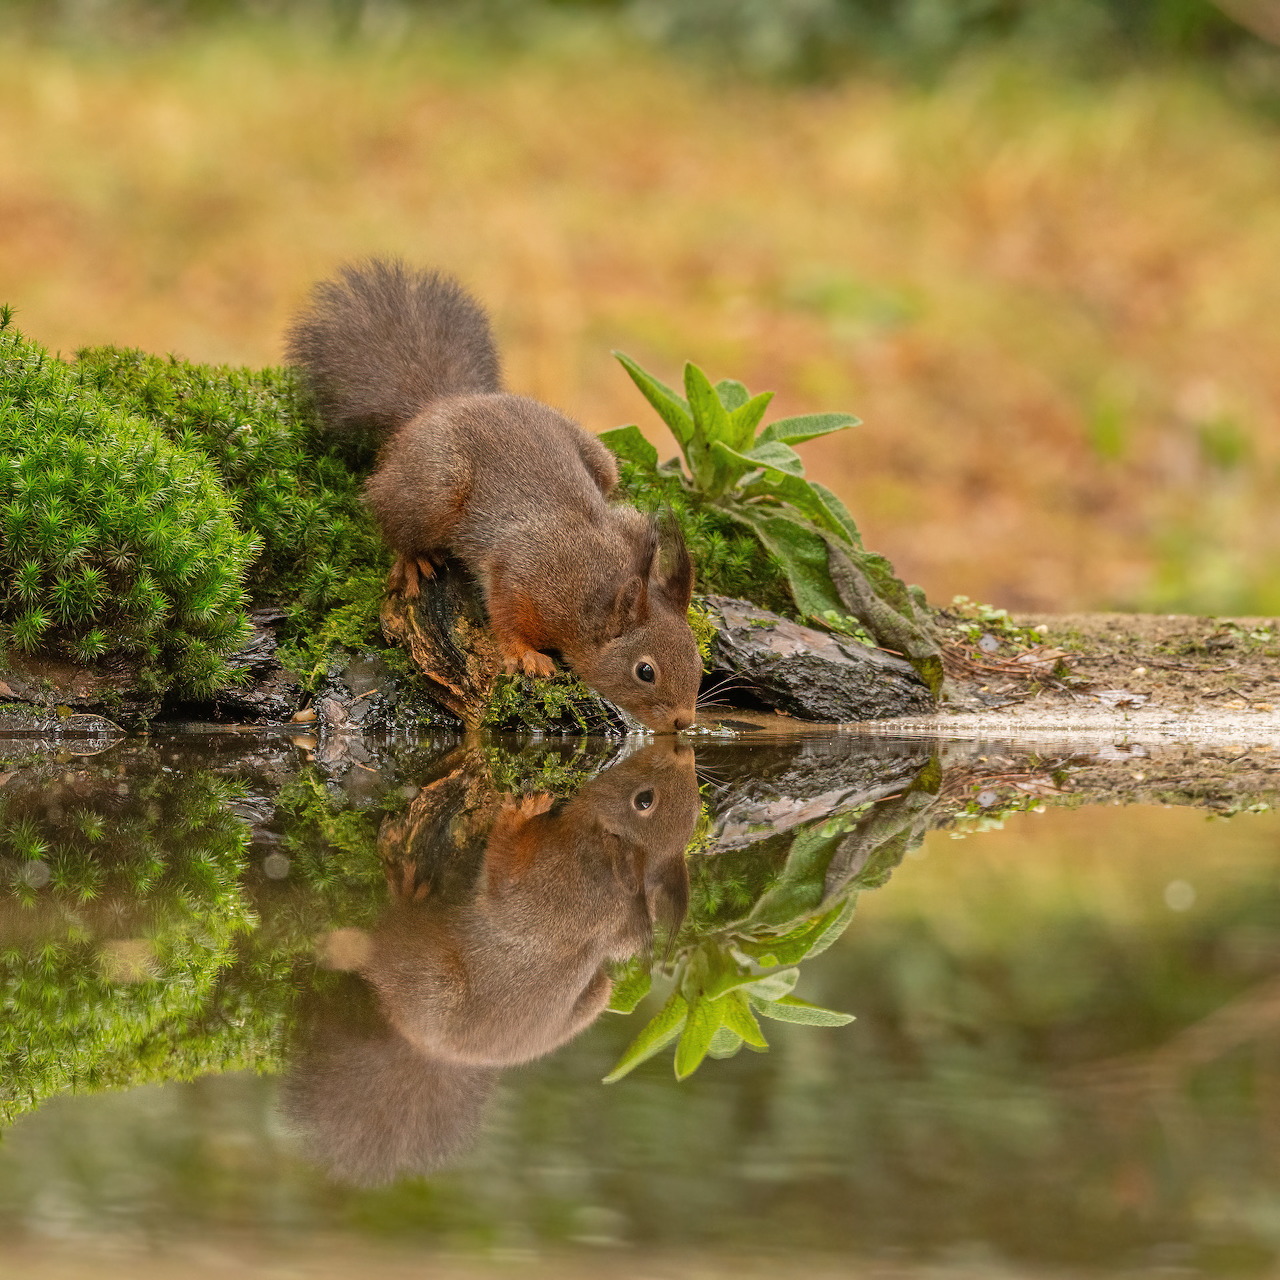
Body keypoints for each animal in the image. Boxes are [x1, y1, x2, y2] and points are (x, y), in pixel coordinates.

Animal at [286, 258, 702, 732]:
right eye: (645, 671)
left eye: (699, 662)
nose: (684, 722)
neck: (592, 590)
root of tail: (439, 405)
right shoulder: (521, 572)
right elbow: (505, 615)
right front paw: (525, 655)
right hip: (435, 489)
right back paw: (413, 560)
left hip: (604, 464)